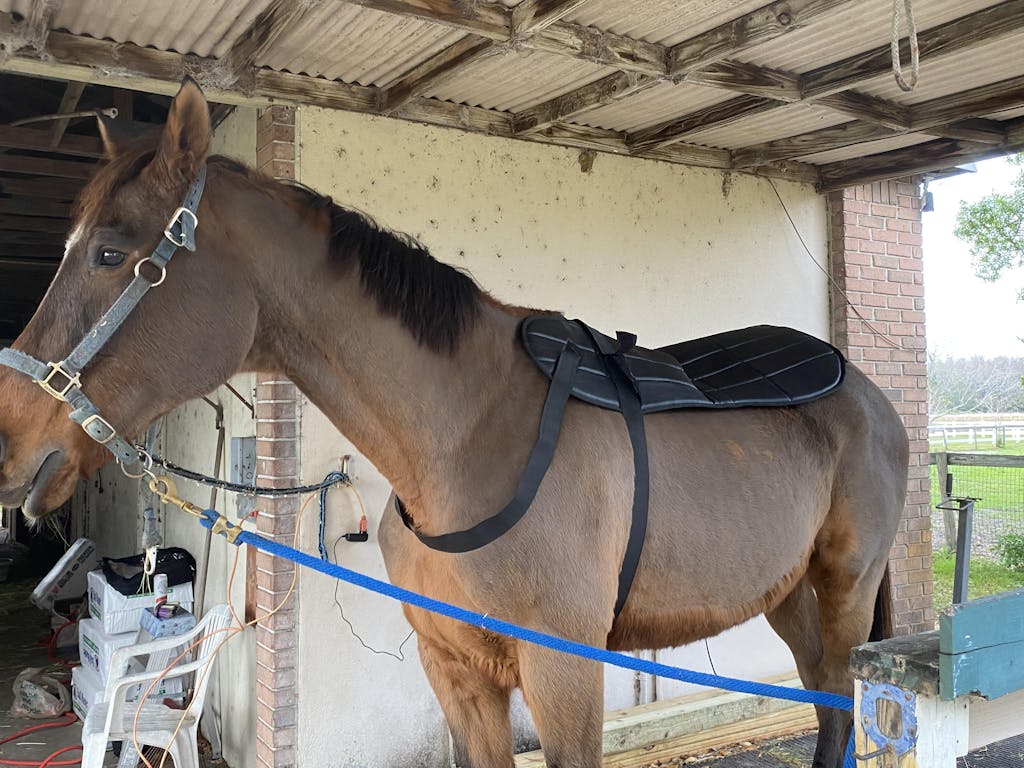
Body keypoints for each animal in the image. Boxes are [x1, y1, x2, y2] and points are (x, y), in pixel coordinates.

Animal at [0, 81, 908, 768]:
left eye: (110, 253)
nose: (10, 444)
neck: (467, 439)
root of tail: (866, 393)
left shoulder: (563, 672)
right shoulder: (457, 671)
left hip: (846, 591)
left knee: (845, 705)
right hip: (786, 594)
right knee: (829, 707)